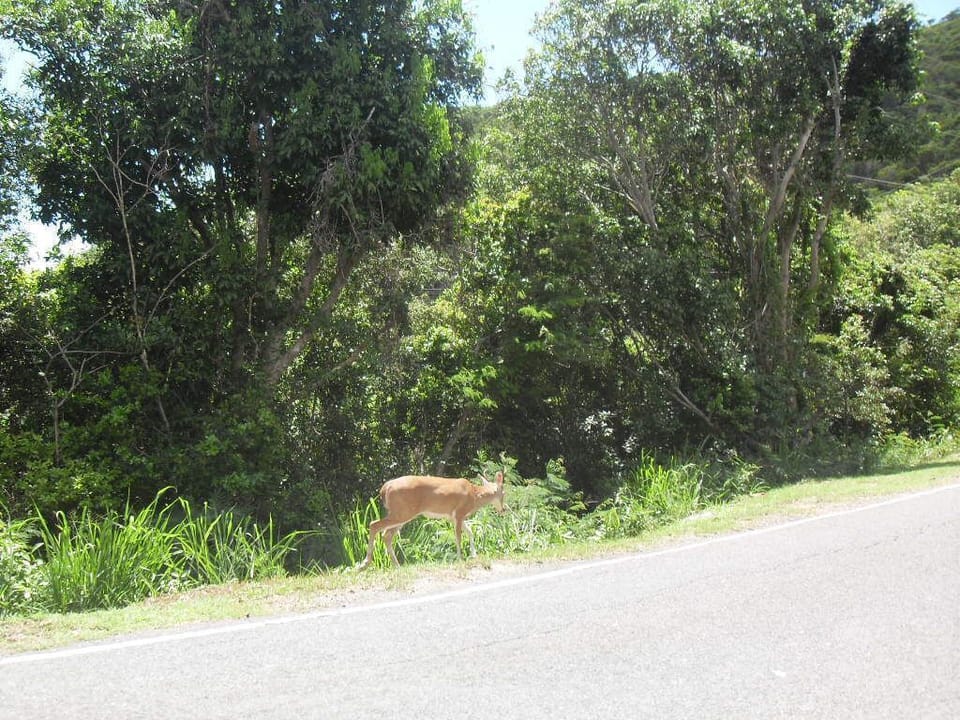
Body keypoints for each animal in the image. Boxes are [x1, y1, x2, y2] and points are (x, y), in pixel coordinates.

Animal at [358, 470, 506, 569]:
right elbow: (458, 537)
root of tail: (384, 488)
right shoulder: (459, 513)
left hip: (400, 513)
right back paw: (364, 564)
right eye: (504, 493)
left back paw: (397, 566)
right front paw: (460, 558)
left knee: (386, 535)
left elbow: (469, 531)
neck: (474, 495)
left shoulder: (453, 517)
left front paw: (474, 555)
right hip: (402, 512)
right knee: (374, 525)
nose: (504, 509)